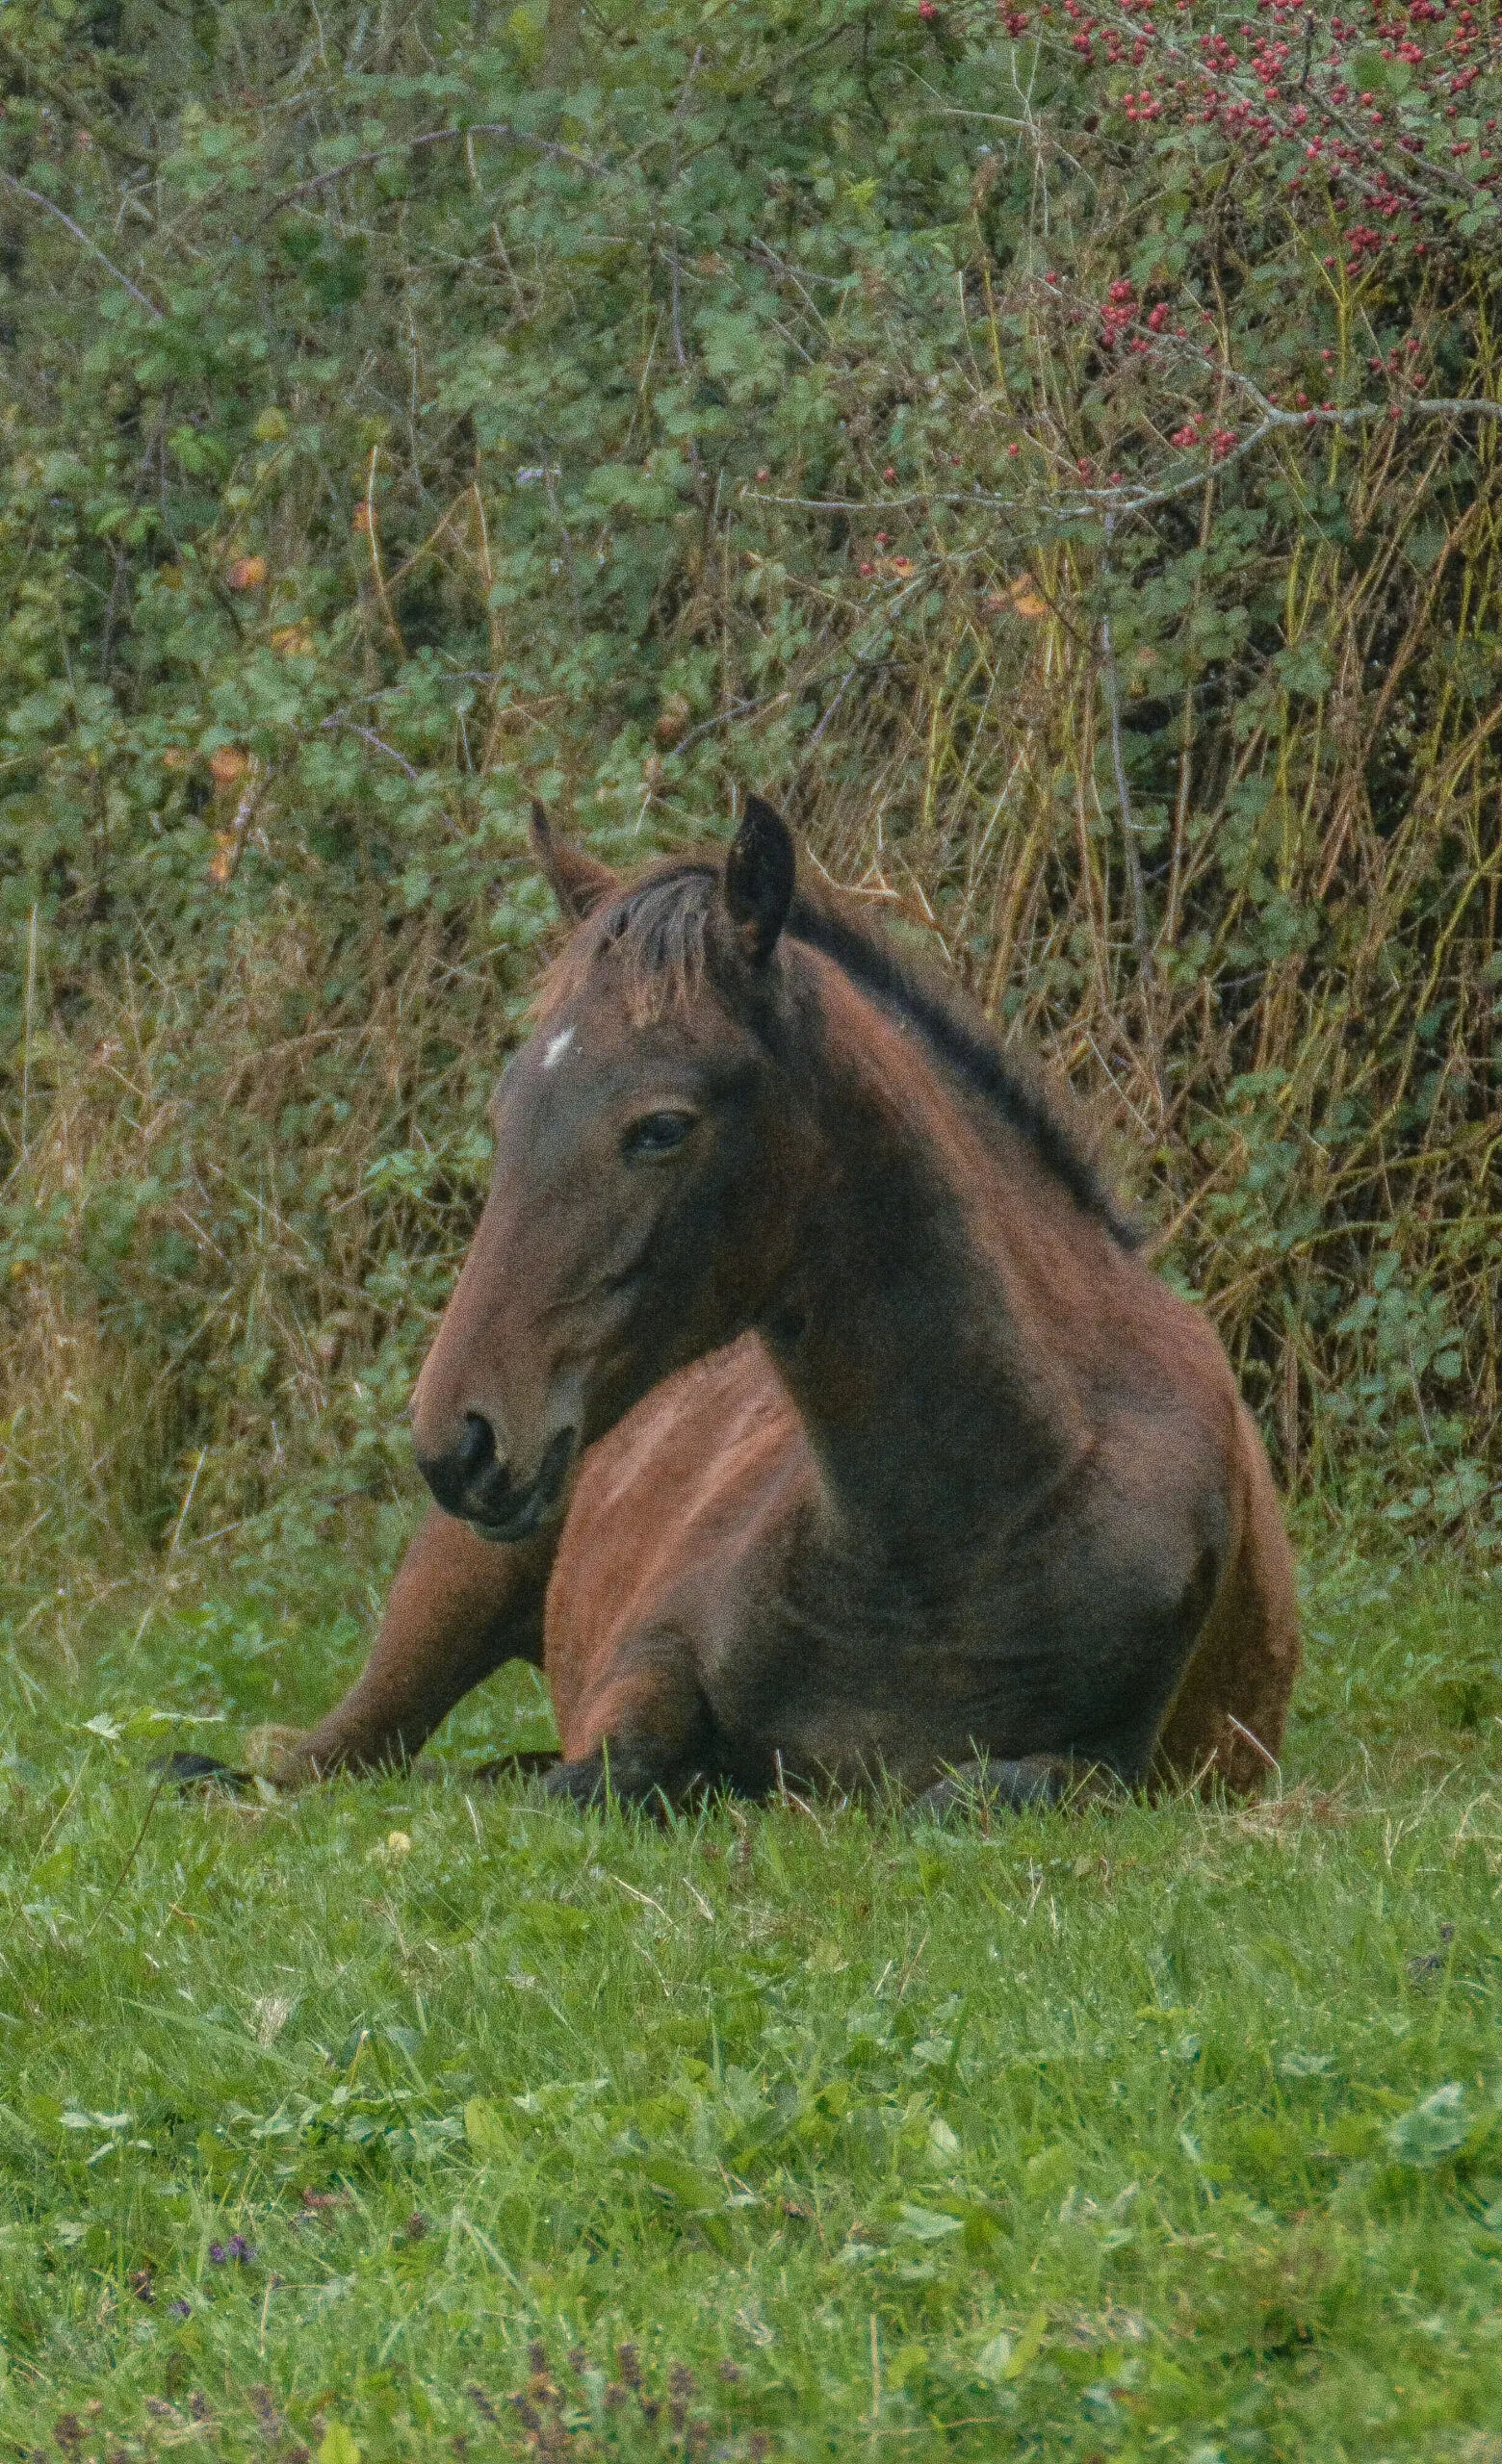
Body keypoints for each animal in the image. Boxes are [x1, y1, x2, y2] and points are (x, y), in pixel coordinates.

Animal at [272, 797, 1299, 1814]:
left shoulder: (1120, 1769)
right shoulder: (642, 1665)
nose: (462, 1442)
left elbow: (973, 1792)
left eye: (662, 1127)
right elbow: (603, 1773)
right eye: (508, 1109)